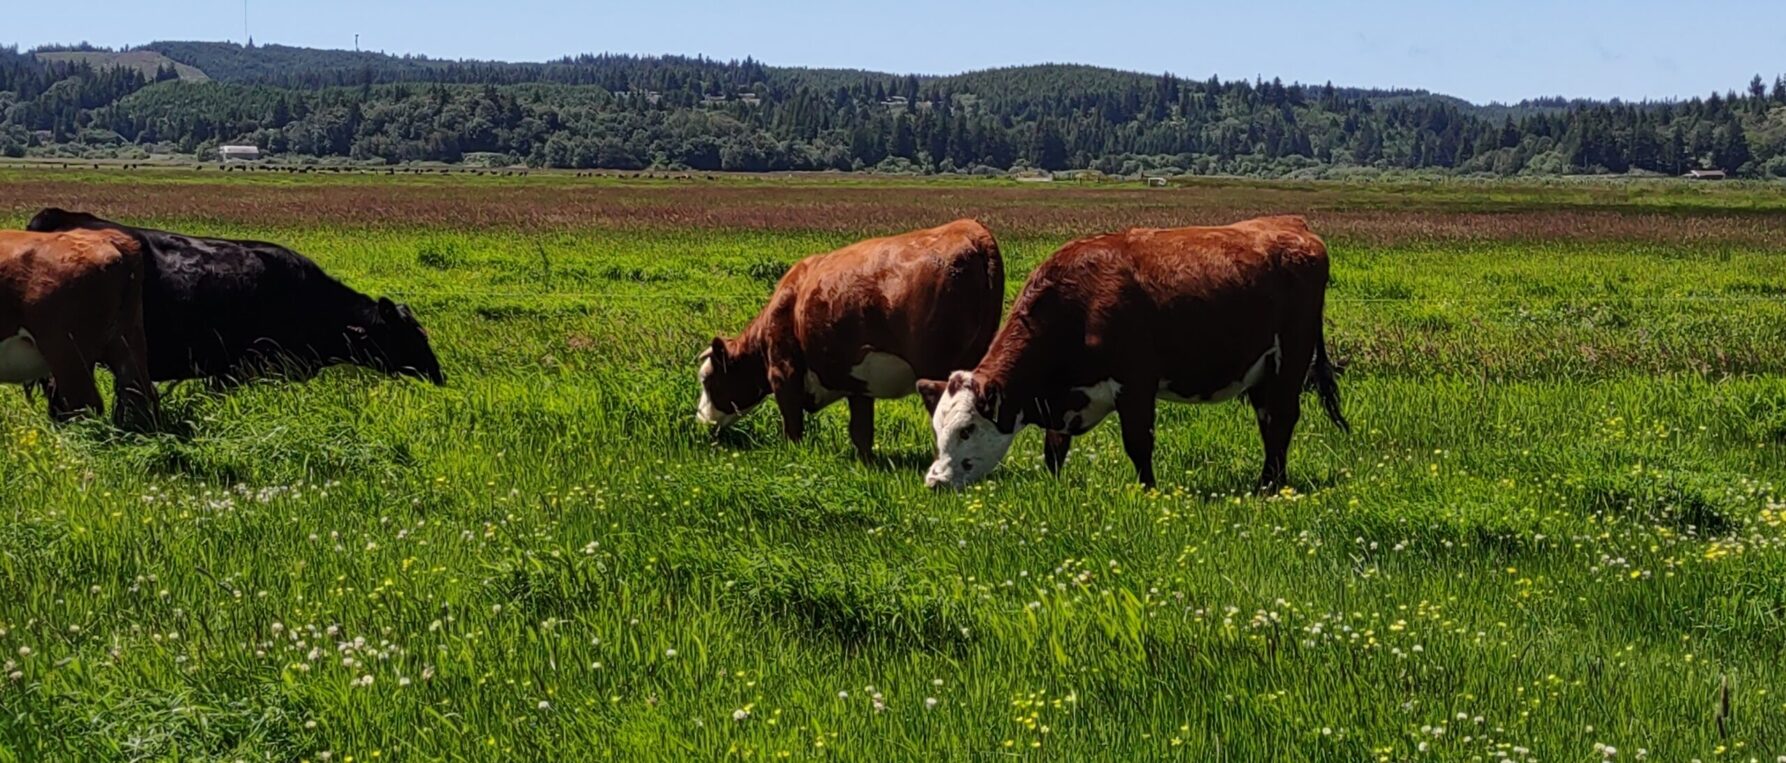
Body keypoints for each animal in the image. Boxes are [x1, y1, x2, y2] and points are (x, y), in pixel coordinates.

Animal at [696, 218, 1007, 464]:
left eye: (707, 379)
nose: (701, 420)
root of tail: (969, 229)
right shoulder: (859, 385)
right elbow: (861, 430)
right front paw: (866, 464)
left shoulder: (783, 372)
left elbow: (793, 425)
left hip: (936, 368)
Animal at [914, 215, 1343, 489]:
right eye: (937, 428)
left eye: (967, 429)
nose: (934, 482)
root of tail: (1292, 225)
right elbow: (1054, 448)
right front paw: (1054, 488)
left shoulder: (1135, 383)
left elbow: (1138, 443)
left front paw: (1147, 491)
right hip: (1260, 368)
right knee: (1268, 420)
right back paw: (1270, 480)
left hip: (1291, 358)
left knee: (1281, 419)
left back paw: (1270, 487)